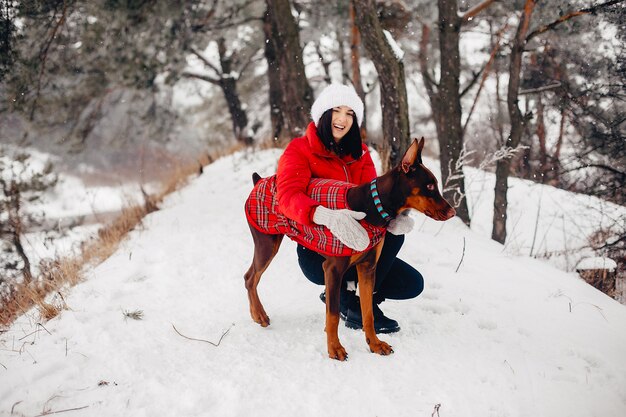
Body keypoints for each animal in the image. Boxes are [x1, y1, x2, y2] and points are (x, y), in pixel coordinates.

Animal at [243, 138, 454, 360]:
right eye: (429, 185)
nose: (452, 212)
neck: (373, 205)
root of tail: (259, 180)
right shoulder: (333, 269)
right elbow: (333, 314)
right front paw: (334, 348)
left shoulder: (368, 267)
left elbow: (367, 312)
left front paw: (375, 344)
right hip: (267, 243)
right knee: (250, 278)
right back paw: (259, 315)